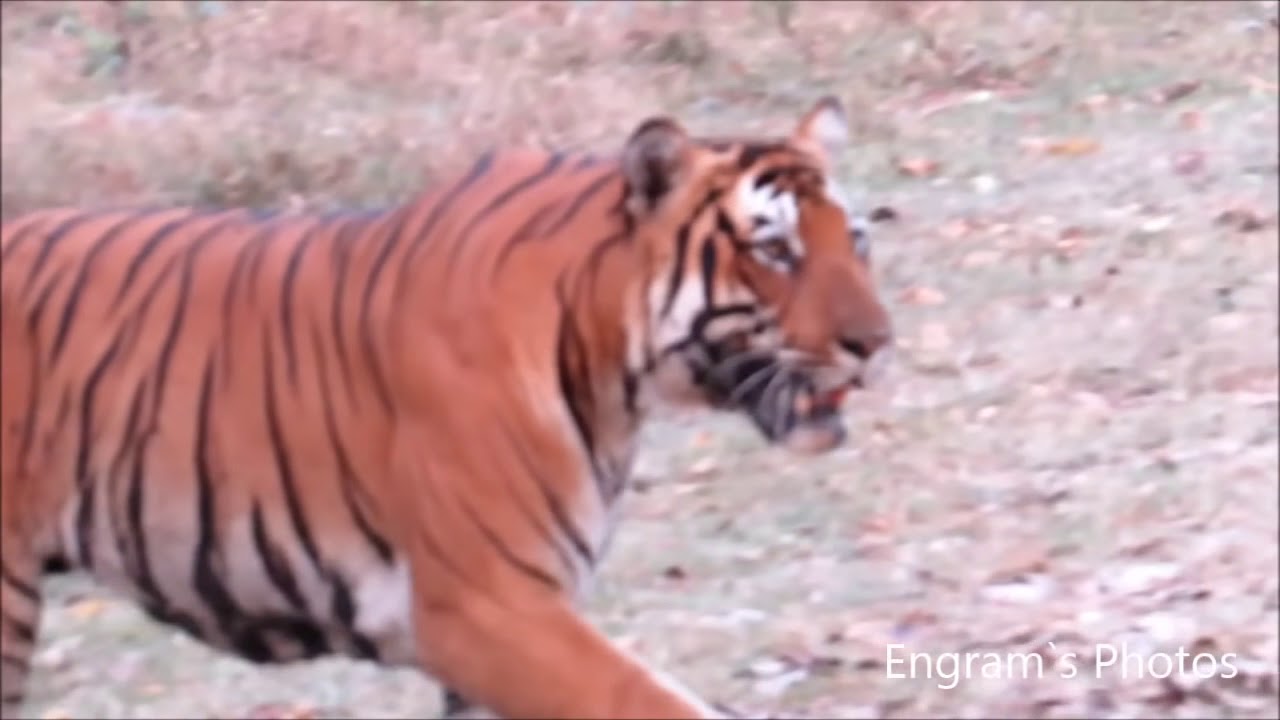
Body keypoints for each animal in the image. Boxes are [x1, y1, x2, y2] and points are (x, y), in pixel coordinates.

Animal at [0, 96, 893, 720]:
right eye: (776, 250)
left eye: (855, 239)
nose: (878, 343)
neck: (610, 367)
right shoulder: (485, 608)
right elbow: (652, 700)